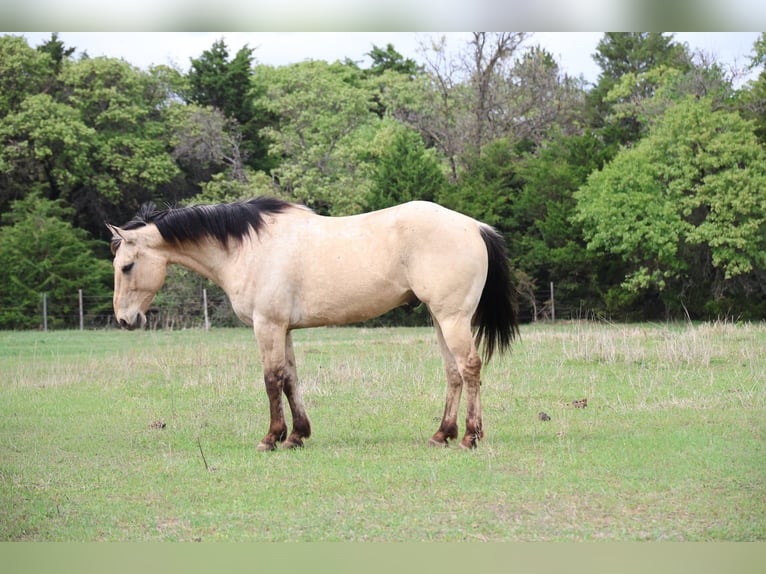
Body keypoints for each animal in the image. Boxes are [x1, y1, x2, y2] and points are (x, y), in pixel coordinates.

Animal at [107, 197, 519, 450]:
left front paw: (271, 438)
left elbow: (271, 380)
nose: (126, 319)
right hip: (440, 319)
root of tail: (474, 226)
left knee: (470, 368)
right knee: (453, 373)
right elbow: (290, 379)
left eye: (126, 266)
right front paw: (296, 436)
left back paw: (470, 437)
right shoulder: (283, 329)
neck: (248, 248)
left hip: (452, 318)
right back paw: (441, 434)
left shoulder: (267, 326)